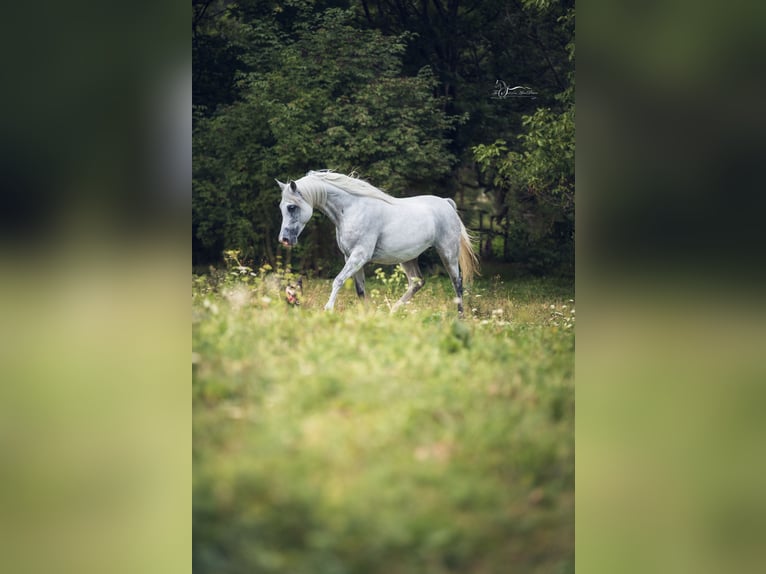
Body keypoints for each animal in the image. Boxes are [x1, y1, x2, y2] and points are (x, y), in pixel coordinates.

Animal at [276, 171, 480, 316]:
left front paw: (328, 309)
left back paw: (460, 318)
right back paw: (393, 312)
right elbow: (360, 290)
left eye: (291, 207)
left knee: (457, 283)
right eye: (281, 207)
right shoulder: (350, 257)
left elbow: (338, 280)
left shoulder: (359, 256)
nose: (284, 240)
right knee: (417, 282)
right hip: (408, 257)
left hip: (448, 253)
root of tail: (447, 203)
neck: (352, 209)